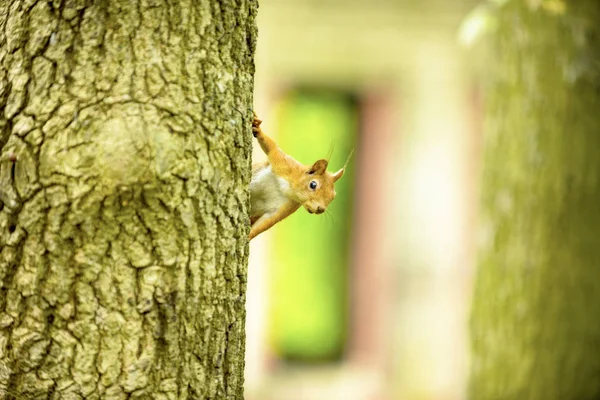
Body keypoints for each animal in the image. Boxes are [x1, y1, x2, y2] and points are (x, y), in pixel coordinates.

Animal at [248, 113, 350, 241]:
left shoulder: (285, 208)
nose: (321, 209)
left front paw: (248, 236)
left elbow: (266, 223)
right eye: (313, 184)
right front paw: (258, 128)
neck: (288, 190)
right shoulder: (285, 165)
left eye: (333, 196)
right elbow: (272, 148)